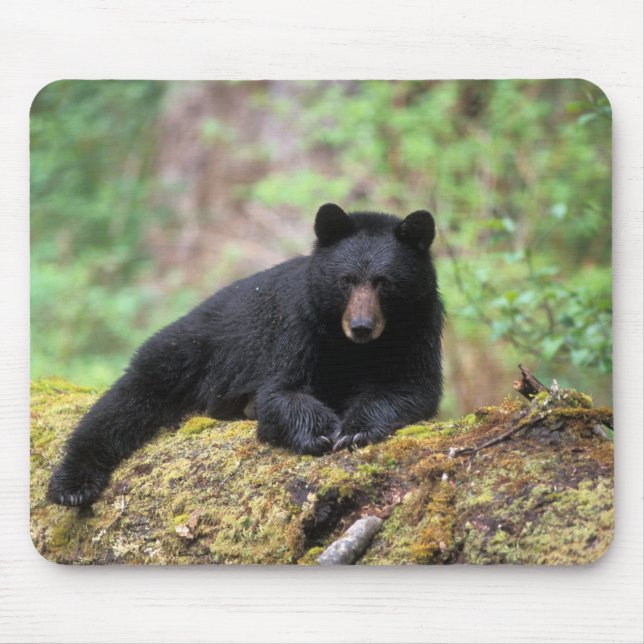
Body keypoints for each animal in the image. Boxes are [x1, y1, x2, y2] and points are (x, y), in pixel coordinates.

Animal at [47, 203, 444, 506]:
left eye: (384, 282)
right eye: (346, 280)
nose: (362, 326)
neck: (353, 347)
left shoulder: (419, 328)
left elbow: (411, 387)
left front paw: (356, 430)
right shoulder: (298, 326)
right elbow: (282, 390)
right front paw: (319, 433)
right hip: (185, 352)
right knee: (122, 404)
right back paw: (72, 485)